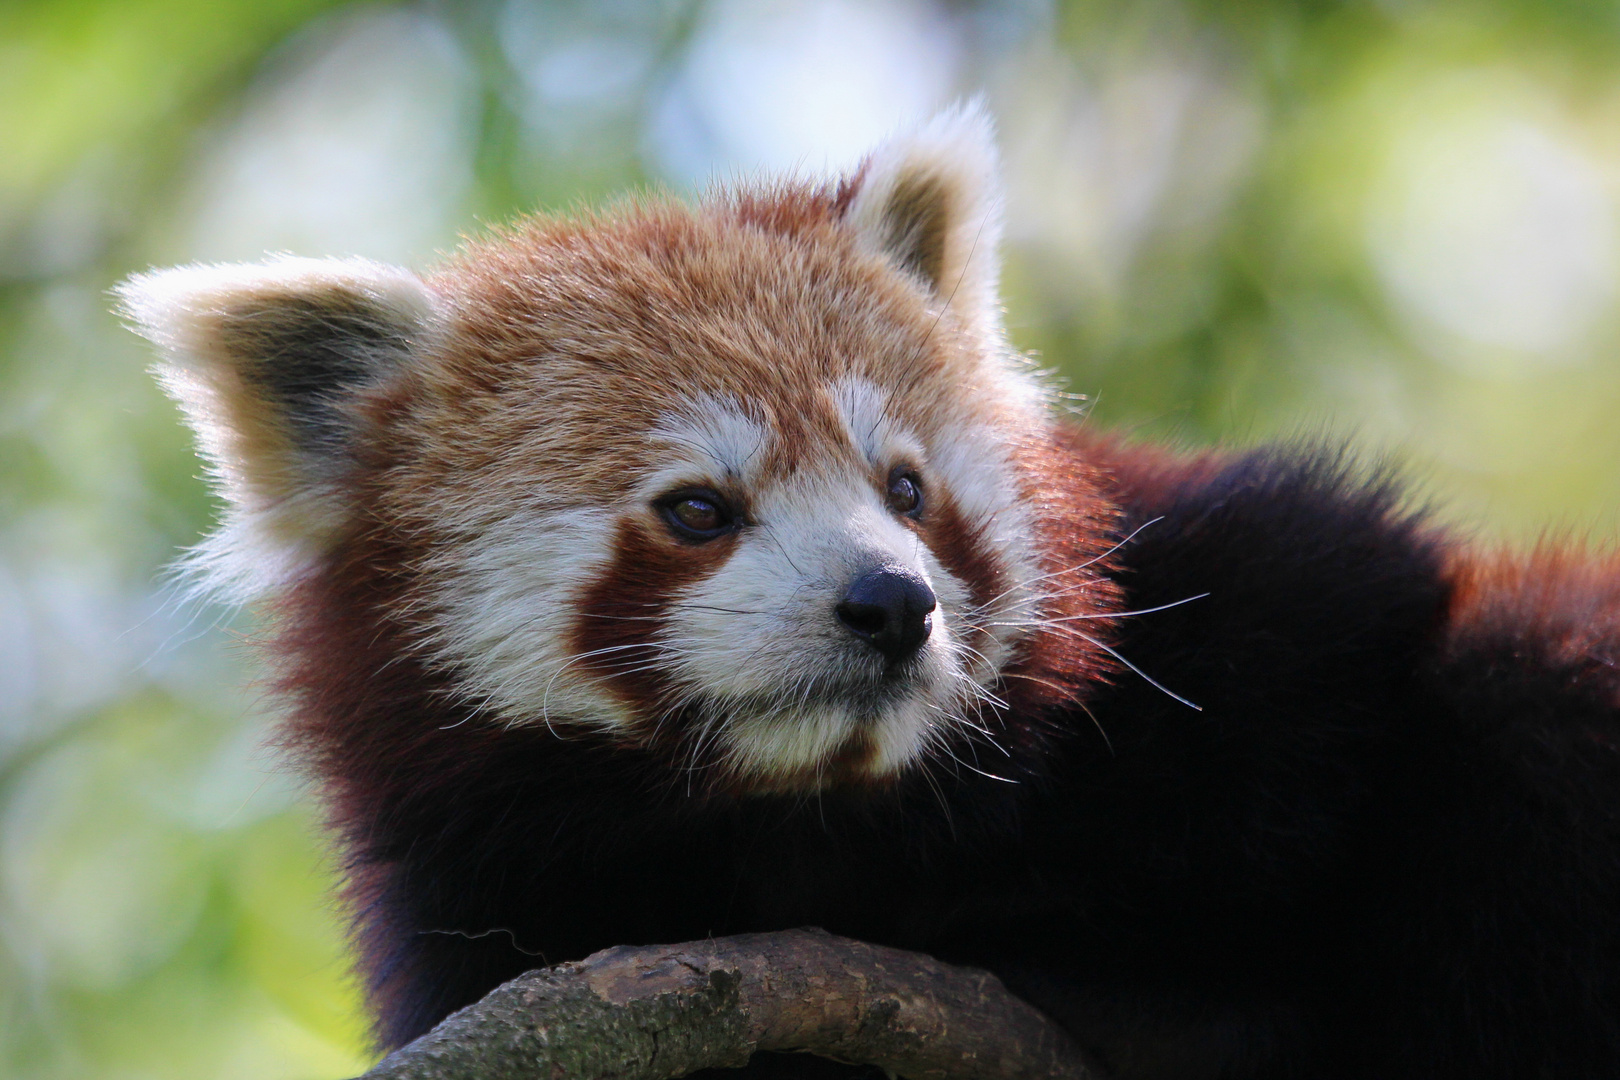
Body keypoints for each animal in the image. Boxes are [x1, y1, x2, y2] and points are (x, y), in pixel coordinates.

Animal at [117, 107, 1620, 1080]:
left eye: (904, 488)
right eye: (698, 510)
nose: (893, 604)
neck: (815, 821)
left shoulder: (1265, 587)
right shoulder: (469, 901)